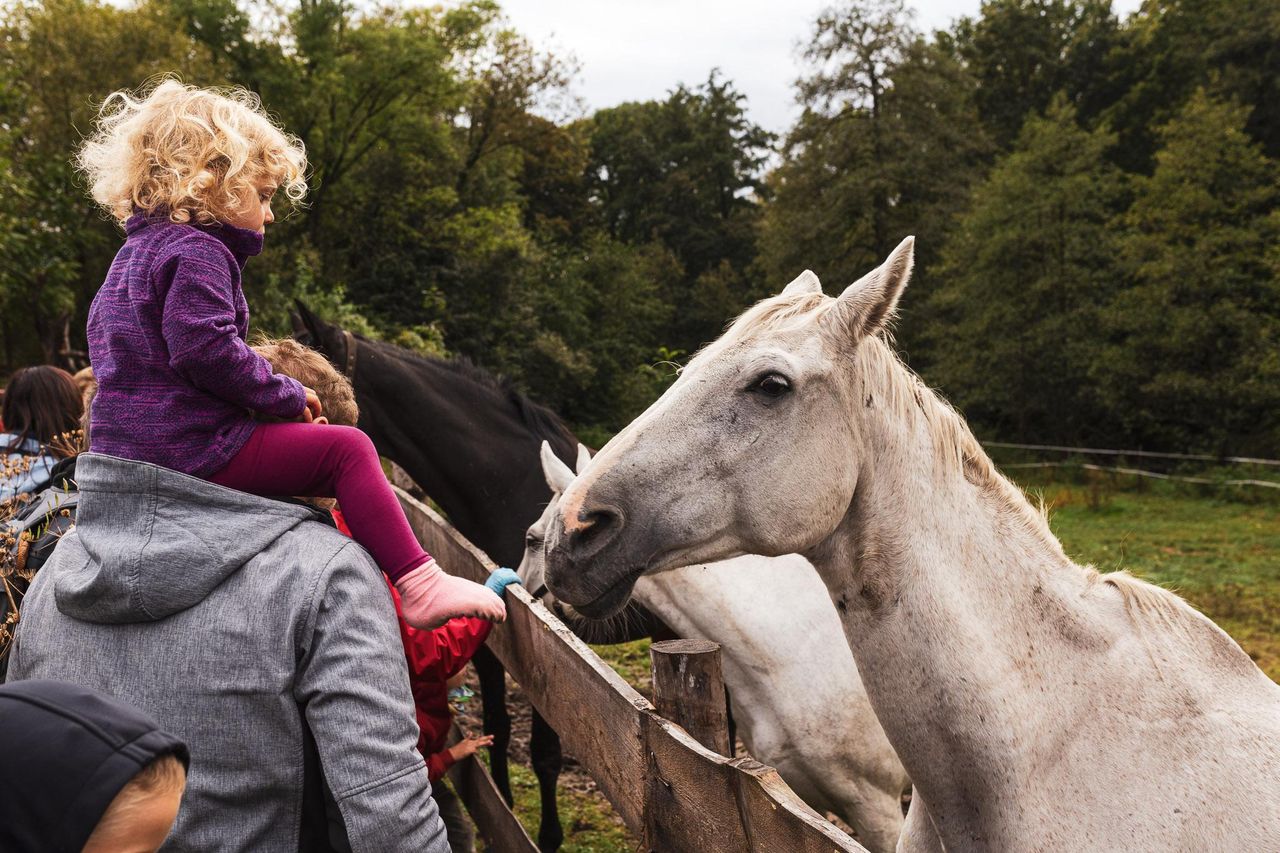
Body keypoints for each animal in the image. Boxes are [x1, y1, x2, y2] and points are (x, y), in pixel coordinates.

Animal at [293, 302, 660, 845]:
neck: (512, 485)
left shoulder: (551, 650)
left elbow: (545, 755)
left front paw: (547, 837)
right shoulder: (493, 638)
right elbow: (498, 726)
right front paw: (502, 814)